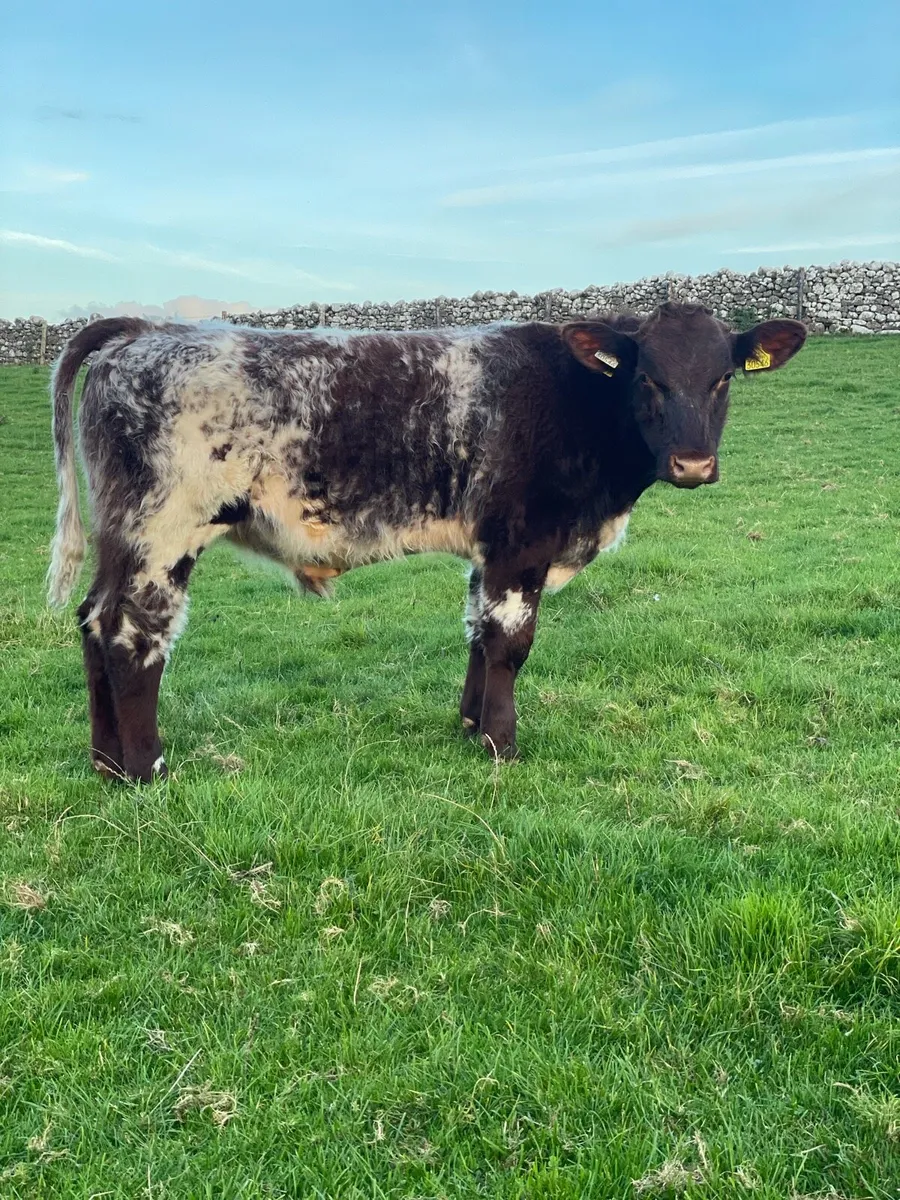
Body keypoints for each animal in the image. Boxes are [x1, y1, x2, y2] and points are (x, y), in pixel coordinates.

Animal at [47, 304, 806, 782]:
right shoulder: (521, 543)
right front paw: (502, 743)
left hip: (123, 534)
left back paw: (105, 762)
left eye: (723, 377)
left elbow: (477, 631)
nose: (693, 465)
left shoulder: (490, 552)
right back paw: (147, 767)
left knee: (91, 622)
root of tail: (143, 330)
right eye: (648, 377)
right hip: (163, 530)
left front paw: (470, 726)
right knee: (130, 634)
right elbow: (510, 642)